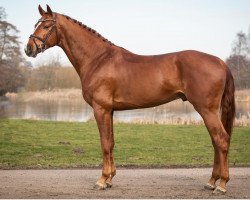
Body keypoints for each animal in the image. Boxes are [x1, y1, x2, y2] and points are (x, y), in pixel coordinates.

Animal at [25, 5, 236, 194]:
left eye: (46, 26)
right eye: (36, 24)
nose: (29, 48)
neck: (98, 59)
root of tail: (221, 62)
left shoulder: (100, 109)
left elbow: (104, 144)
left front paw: (101, 180)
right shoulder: (109, 110)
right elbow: (111, 142)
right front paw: (110, 179)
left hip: (206, 109)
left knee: (222, 140)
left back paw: (221, 184)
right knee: (216, 142)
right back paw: (211, 181)